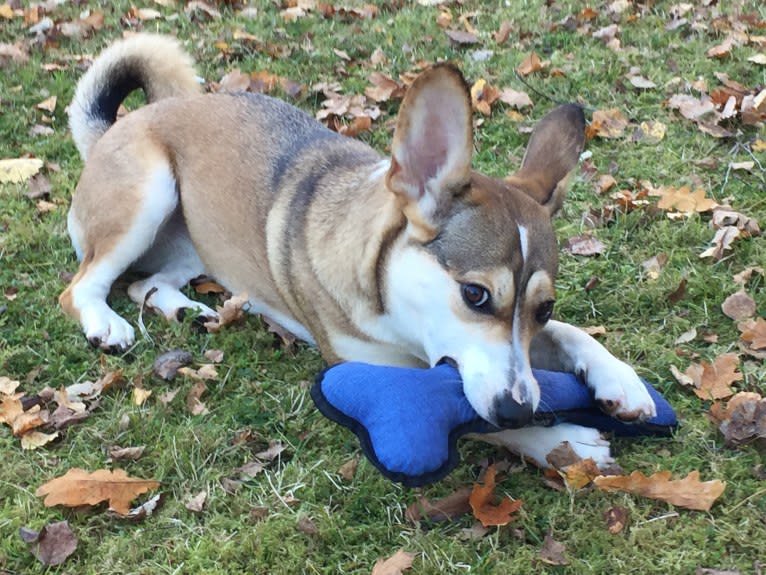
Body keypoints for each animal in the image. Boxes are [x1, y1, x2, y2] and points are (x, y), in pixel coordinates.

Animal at [61, 35, 660, 468]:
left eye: (545, 307)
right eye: (475, 294)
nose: (517, 409)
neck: (394, 305)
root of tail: (115, 128)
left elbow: (570, 336)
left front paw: (620, 381)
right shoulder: (375, 370)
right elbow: (470, 421)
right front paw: (563, 441)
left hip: (198, 240)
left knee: (148, 282)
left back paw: (188, 309)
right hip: (150, 193)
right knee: (84, 285)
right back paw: (105, 323)